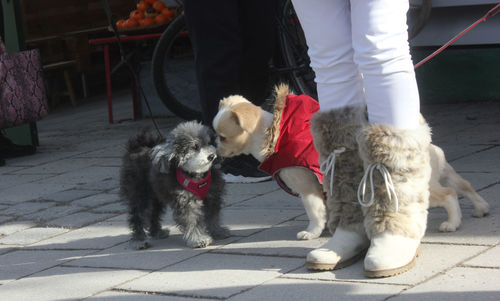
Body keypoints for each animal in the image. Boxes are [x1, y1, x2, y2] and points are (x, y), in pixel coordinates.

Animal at [120, 120, 229, 248]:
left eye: (209, 143)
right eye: (195, 147)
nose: (212, 156)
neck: (196, 175)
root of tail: (137, 147)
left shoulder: (212, 197)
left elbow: (213, 217)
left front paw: (218, 231)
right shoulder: (187, 202)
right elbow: (192, 221)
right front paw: (198, 239)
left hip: (156, 195)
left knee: (154, 213)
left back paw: (157, 232)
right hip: (139, 192)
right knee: (137, 215)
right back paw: (139, 240)